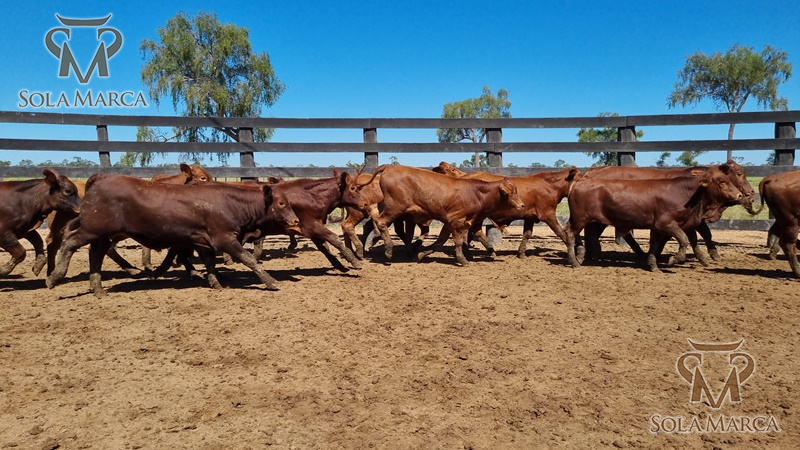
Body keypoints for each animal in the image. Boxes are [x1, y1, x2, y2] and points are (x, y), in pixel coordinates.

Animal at [45, 173, 300, 296]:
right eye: (281, 203)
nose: (296, 220)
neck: (229, 203)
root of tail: (99, 179)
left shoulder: (203, 242)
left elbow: (209, 263)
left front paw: (215, 282)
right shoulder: (225, 239)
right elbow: (249, 260)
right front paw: (270, 281)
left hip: (102, 234)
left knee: (96, 255)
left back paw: (97, 288)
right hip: (92, 229)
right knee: (69, 242)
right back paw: (55, 276)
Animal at [359, 164, 524, 266]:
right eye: (511, 192)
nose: (522, 205)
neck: (476, 193)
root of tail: (390, 166)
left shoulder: (449, 222)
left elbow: (440, 241)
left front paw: (421, 254)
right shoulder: (456, 221)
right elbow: (457, 242)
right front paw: (462, 260)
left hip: (387, 205)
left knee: (374, 211)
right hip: (395, 207)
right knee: (381, 221)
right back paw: (388, 250)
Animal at [432, 161, 581, 258]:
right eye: (581, 177)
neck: (550, 185)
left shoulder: (530, 217)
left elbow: (527, 234)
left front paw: (521, 253)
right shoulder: (548, 215)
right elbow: (561, 232)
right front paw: (576, 250)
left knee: (474, 231)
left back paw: (487, 251)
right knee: (468, 232)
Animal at [564, 168, 744, 272]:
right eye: (722, 181)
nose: (740, 195)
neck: (684, 192)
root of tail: (581, 180)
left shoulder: (661, 226)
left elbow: (656, 244)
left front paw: (653, 264)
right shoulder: (666, 223)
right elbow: (684, 239)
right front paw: (674, 259)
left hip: (592, 221)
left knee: (587, 236)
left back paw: (587, 256)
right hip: (580, 219)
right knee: (571, 234)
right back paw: (575, 261)